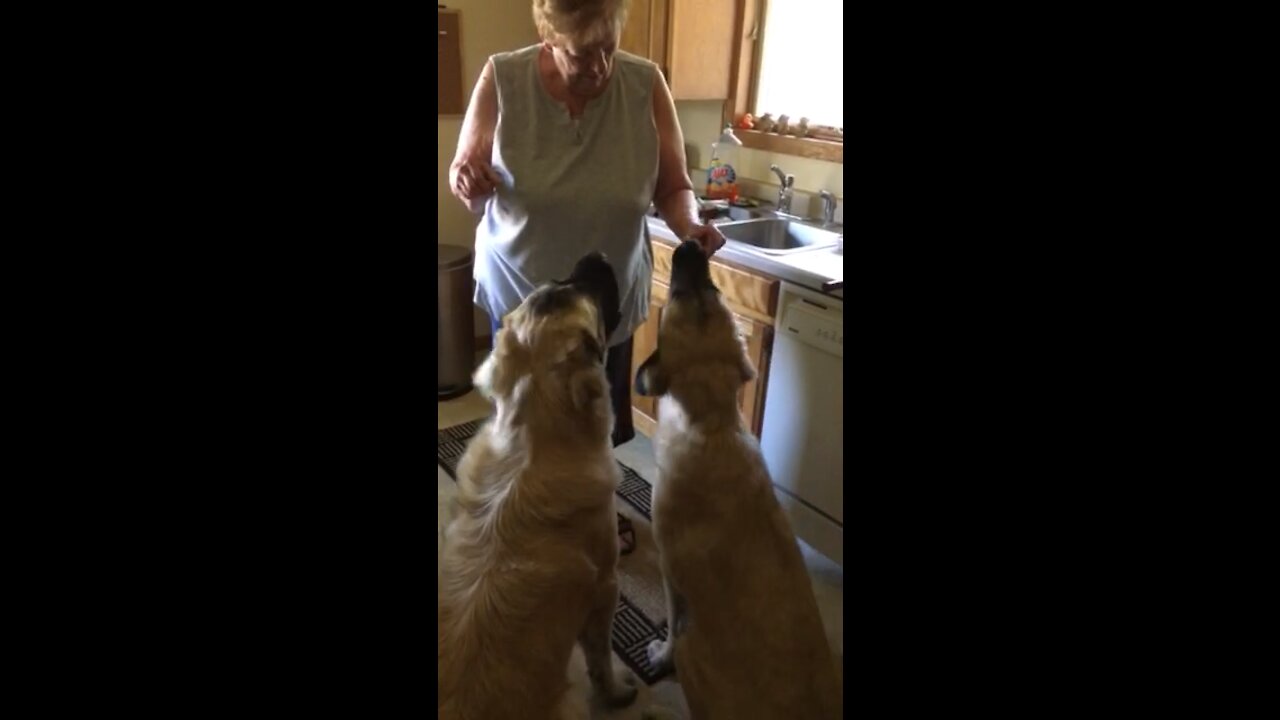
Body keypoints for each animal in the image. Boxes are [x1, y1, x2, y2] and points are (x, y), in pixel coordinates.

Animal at [437, 252, 637, 717]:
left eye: (559, 282)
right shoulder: (606, 586)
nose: (595, 255)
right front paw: (617, 693)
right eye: (584, 290)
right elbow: (602, 658)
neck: (534, 435)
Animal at [634, 240, 844, 717]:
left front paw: (659, 653)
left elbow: (672, 623)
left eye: (677, 296)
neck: (712, 424)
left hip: (694, 657)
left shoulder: (672, 571)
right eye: (714, 291)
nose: (693, 242)